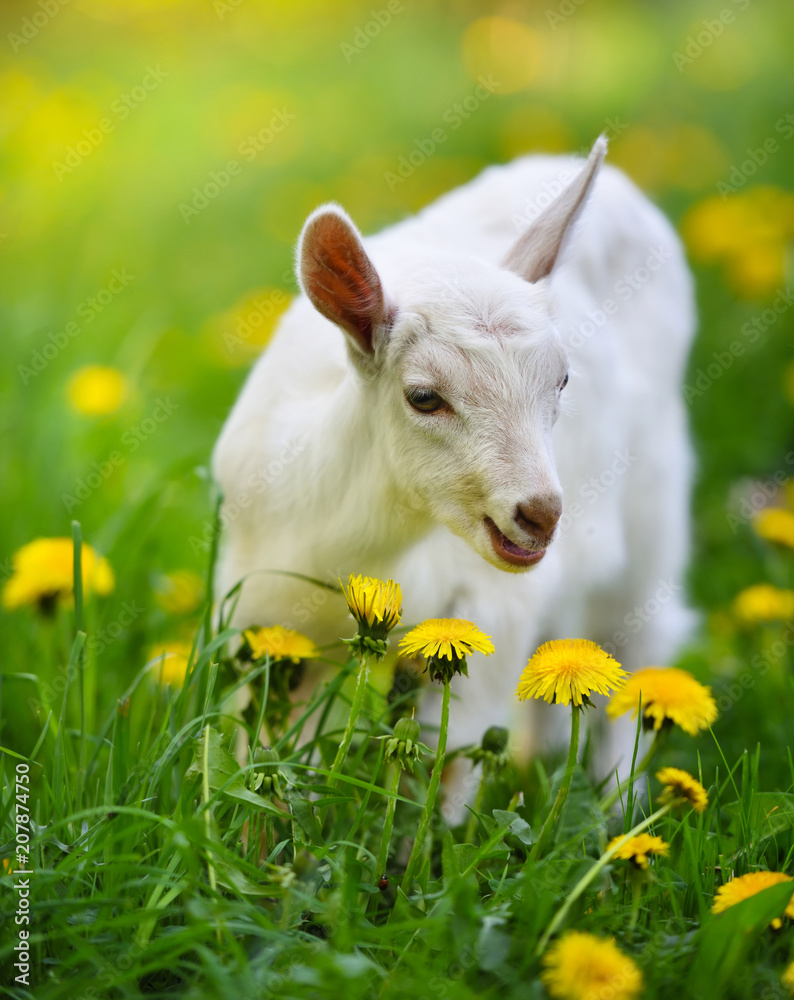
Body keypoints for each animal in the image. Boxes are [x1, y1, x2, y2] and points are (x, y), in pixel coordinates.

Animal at [212, 136, 695, 786]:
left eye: (563, 381)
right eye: (423, 396)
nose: (542, 514)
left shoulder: (490, 615)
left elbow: (450, 764)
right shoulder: (265, 616)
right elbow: (273, 758)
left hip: (654, 494)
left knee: (633, 643)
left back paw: (615, 798)